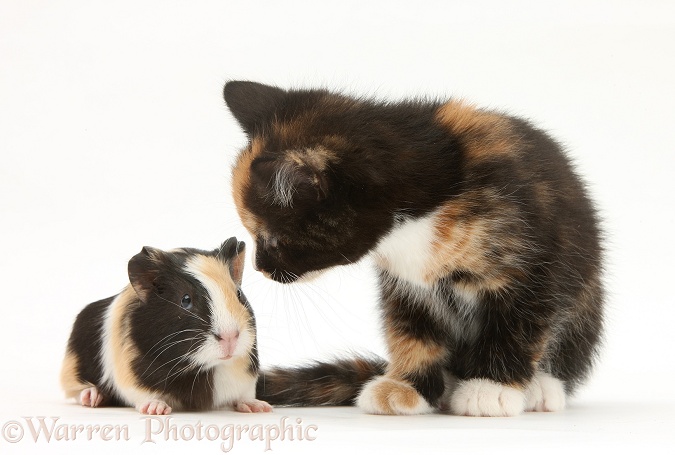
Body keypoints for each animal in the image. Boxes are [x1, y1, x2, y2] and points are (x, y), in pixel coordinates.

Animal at [224, 81, 604, 416]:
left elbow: (516, 326)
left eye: (271, 239)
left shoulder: (530, 264)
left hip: (586, 300)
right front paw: (407, 386)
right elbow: (411, 331)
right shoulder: (405, 286)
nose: (260, 267)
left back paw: (540, 387)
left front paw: (489, 389)